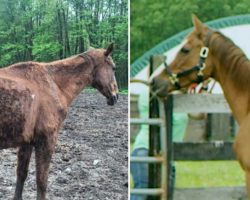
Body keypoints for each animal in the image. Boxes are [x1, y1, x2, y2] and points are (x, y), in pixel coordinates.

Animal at [0, 42, 118, 200]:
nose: (115, 97)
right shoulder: (47, 140)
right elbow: (42, 181)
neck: (54, 83)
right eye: (113, 68)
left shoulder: (27, 142)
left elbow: (21, 175)